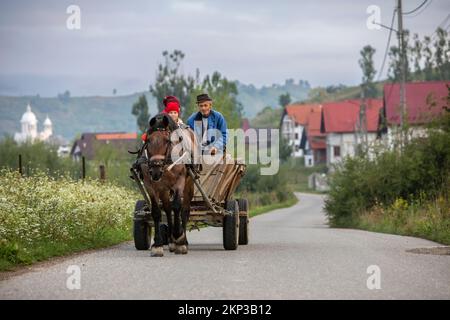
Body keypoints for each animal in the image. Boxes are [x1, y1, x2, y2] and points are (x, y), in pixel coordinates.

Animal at [141, 114, 195, 256]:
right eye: (148, 140)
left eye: (167, 141)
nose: (155, 170)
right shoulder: (151, 186)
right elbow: (156, 211)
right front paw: (157, 245)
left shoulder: (179, 182)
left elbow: (177, 206)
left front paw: (178, 237)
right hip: (163, 189)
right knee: (167, 208)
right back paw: (171, 241)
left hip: (189, 185)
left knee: (184, 210)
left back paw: (182, 241)